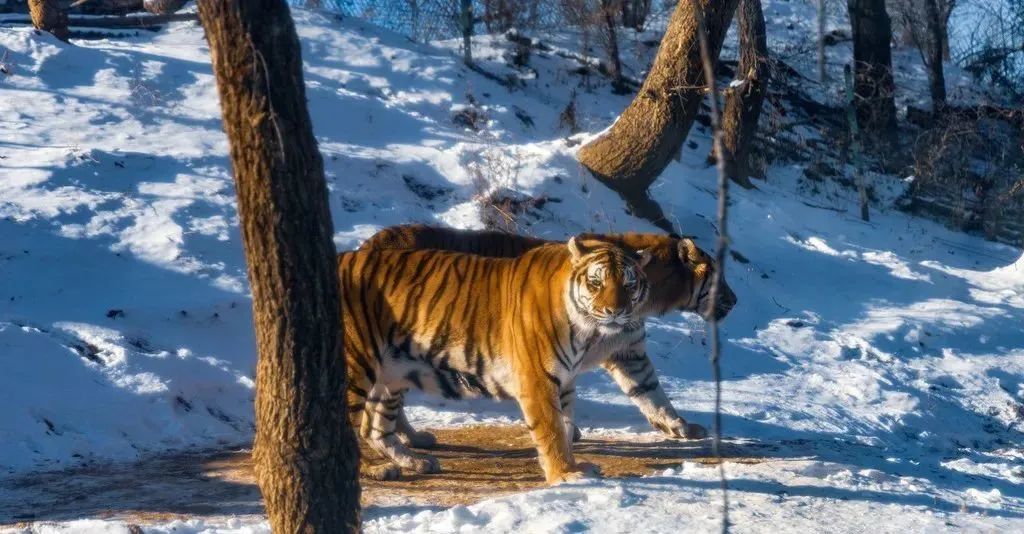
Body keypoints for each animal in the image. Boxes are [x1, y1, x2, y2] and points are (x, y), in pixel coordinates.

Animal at [339, 237, 651, 483]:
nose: (615, 311)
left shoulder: (565, 382)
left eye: (628, 284)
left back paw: (416, 461)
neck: (584, 330)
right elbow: (551, 430)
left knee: (374, 428)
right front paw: (563, 474)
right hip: (356, 366)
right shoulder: (537, 380)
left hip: (392, 373)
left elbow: (565, 426)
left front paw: (573, 466)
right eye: (596, 282)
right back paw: (375, 469)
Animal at [360, 223, 737, 448]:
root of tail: (370, 242)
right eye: (719, 277)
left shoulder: (629, 353)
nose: (735, 300)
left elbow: (651, 393)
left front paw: (680, 427)